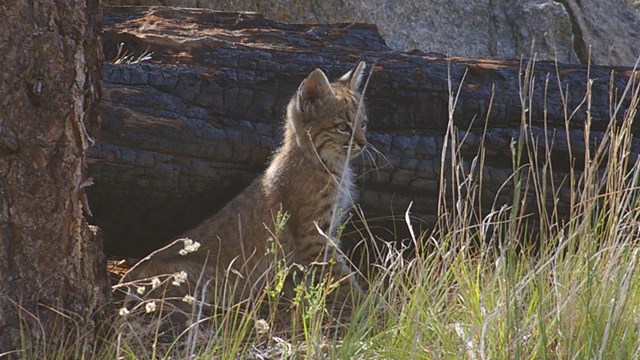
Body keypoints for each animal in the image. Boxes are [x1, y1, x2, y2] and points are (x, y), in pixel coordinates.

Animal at [122, 62, 368, 306]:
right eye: (343, 126)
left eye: (363, 124)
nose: (364, 143)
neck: (329, 163)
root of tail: (129, 277)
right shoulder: (314, 234)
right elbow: (342, 276)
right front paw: (369, 305)